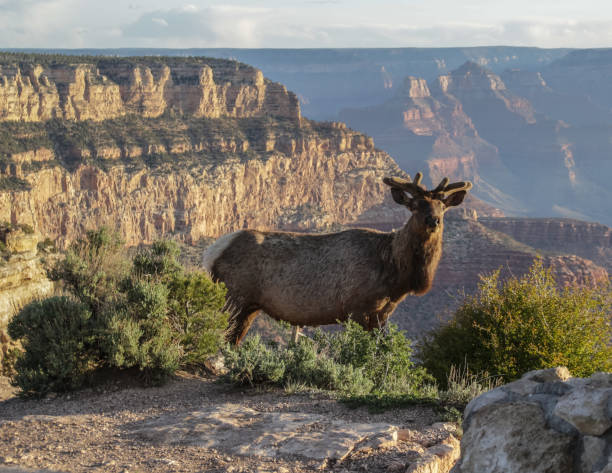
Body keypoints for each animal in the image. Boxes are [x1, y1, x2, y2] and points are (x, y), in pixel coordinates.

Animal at [203, 173, 470, 342]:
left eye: (442, 206)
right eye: (414, 205)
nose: (433, 220)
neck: (395, 273)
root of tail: (211, 252)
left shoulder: (383, 313)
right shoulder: (357, 308)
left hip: (249, 307)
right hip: (233, 297)